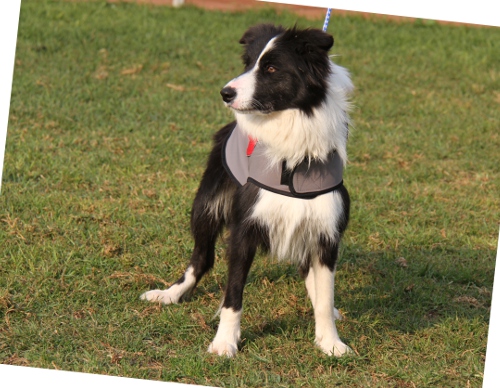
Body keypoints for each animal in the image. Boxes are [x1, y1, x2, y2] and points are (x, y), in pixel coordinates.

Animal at [141, 24, 352, 356]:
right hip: (206, 203)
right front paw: (224, 343)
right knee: (202, 257)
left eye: (271, 68)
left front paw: (330, 342)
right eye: (248, 63)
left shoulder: (326, 230)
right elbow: (233, 294)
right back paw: (170, 294)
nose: (225, 93)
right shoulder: (245, 227)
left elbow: (324, 292)